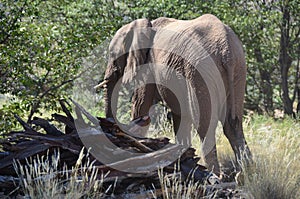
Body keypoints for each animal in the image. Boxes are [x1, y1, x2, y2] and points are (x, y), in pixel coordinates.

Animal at [99, 14, 252, 175]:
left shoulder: (148, 65)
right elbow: (180, 114)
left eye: (112, 54)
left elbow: (141, 105)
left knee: (206, 127)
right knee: (233, 126)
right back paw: (246, 174)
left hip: (199, 71)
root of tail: (226, 50)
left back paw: (215, 175)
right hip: (238, 70)